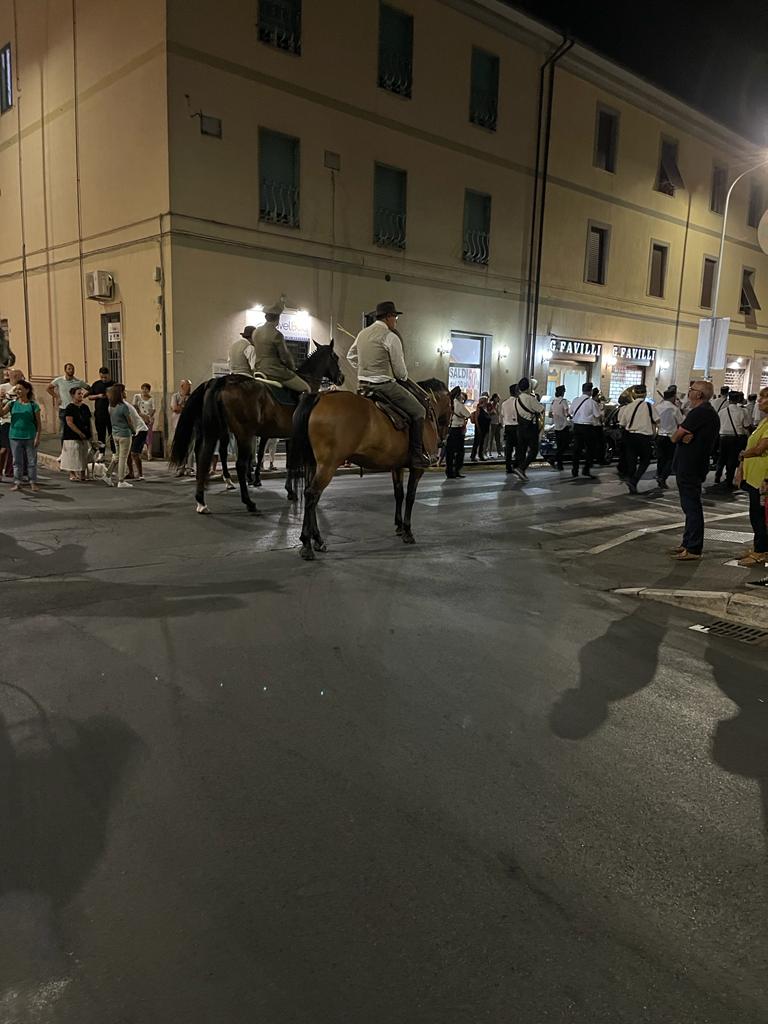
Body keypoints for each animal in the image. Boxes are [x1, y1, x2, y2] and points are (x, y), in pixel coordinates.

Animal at [169, 342, 344, 515]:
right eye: (335, 357)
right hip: (243, 434)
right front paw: (293, 491)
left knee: (205, 455)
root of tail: (223, 381)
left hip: (216, 431)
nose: (341, 378)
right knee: (238, 464)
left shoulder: (285, 436)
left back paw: (202, 500)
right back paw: (248, 502)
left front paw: (289, 490)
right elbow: (290, 463)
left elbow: (284, 462)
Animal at [287, 378, 452, 560]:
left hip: (314, 464)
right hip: (327, 466)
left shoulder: (397, 466)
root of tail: (320, 396)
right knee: (311, 495)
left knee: (312, 496)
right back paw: (307, 544)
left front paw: (399, 526)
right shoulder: (417, 469)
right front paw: (408, 531)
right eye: (452, 407)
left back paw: (317, 540)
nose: (443, 442)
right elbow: (410, 497)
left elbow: (399, 494)